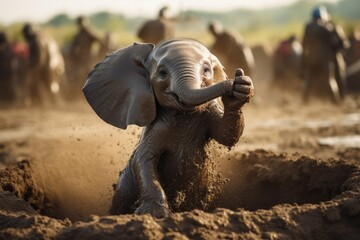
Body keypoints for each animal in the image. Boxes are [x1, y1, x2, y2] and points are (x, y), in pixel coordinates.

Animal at [83, 39, 255, 218]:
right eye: (162, 73)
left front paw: (240, 89)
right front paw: (153, 213)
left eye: (207, 70)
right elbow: (144, 160)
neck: (184, 114)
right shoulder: (156, 128)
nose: (238, 75)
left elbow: (227, 135)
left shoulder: (208, 112)